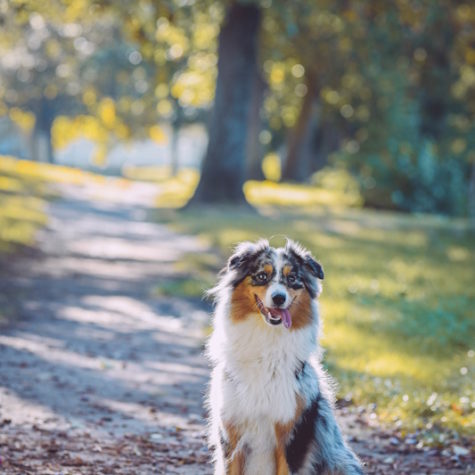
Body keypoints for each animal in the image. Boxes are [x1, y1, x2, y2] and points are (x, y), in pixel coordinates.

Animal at [205, 240, 364, 475]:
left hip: (340, 460)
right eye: (262, 275)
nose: (279, 298)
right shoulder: (231, 432)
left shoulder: (292, 434)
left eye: (292, 278)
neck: (267, 341)